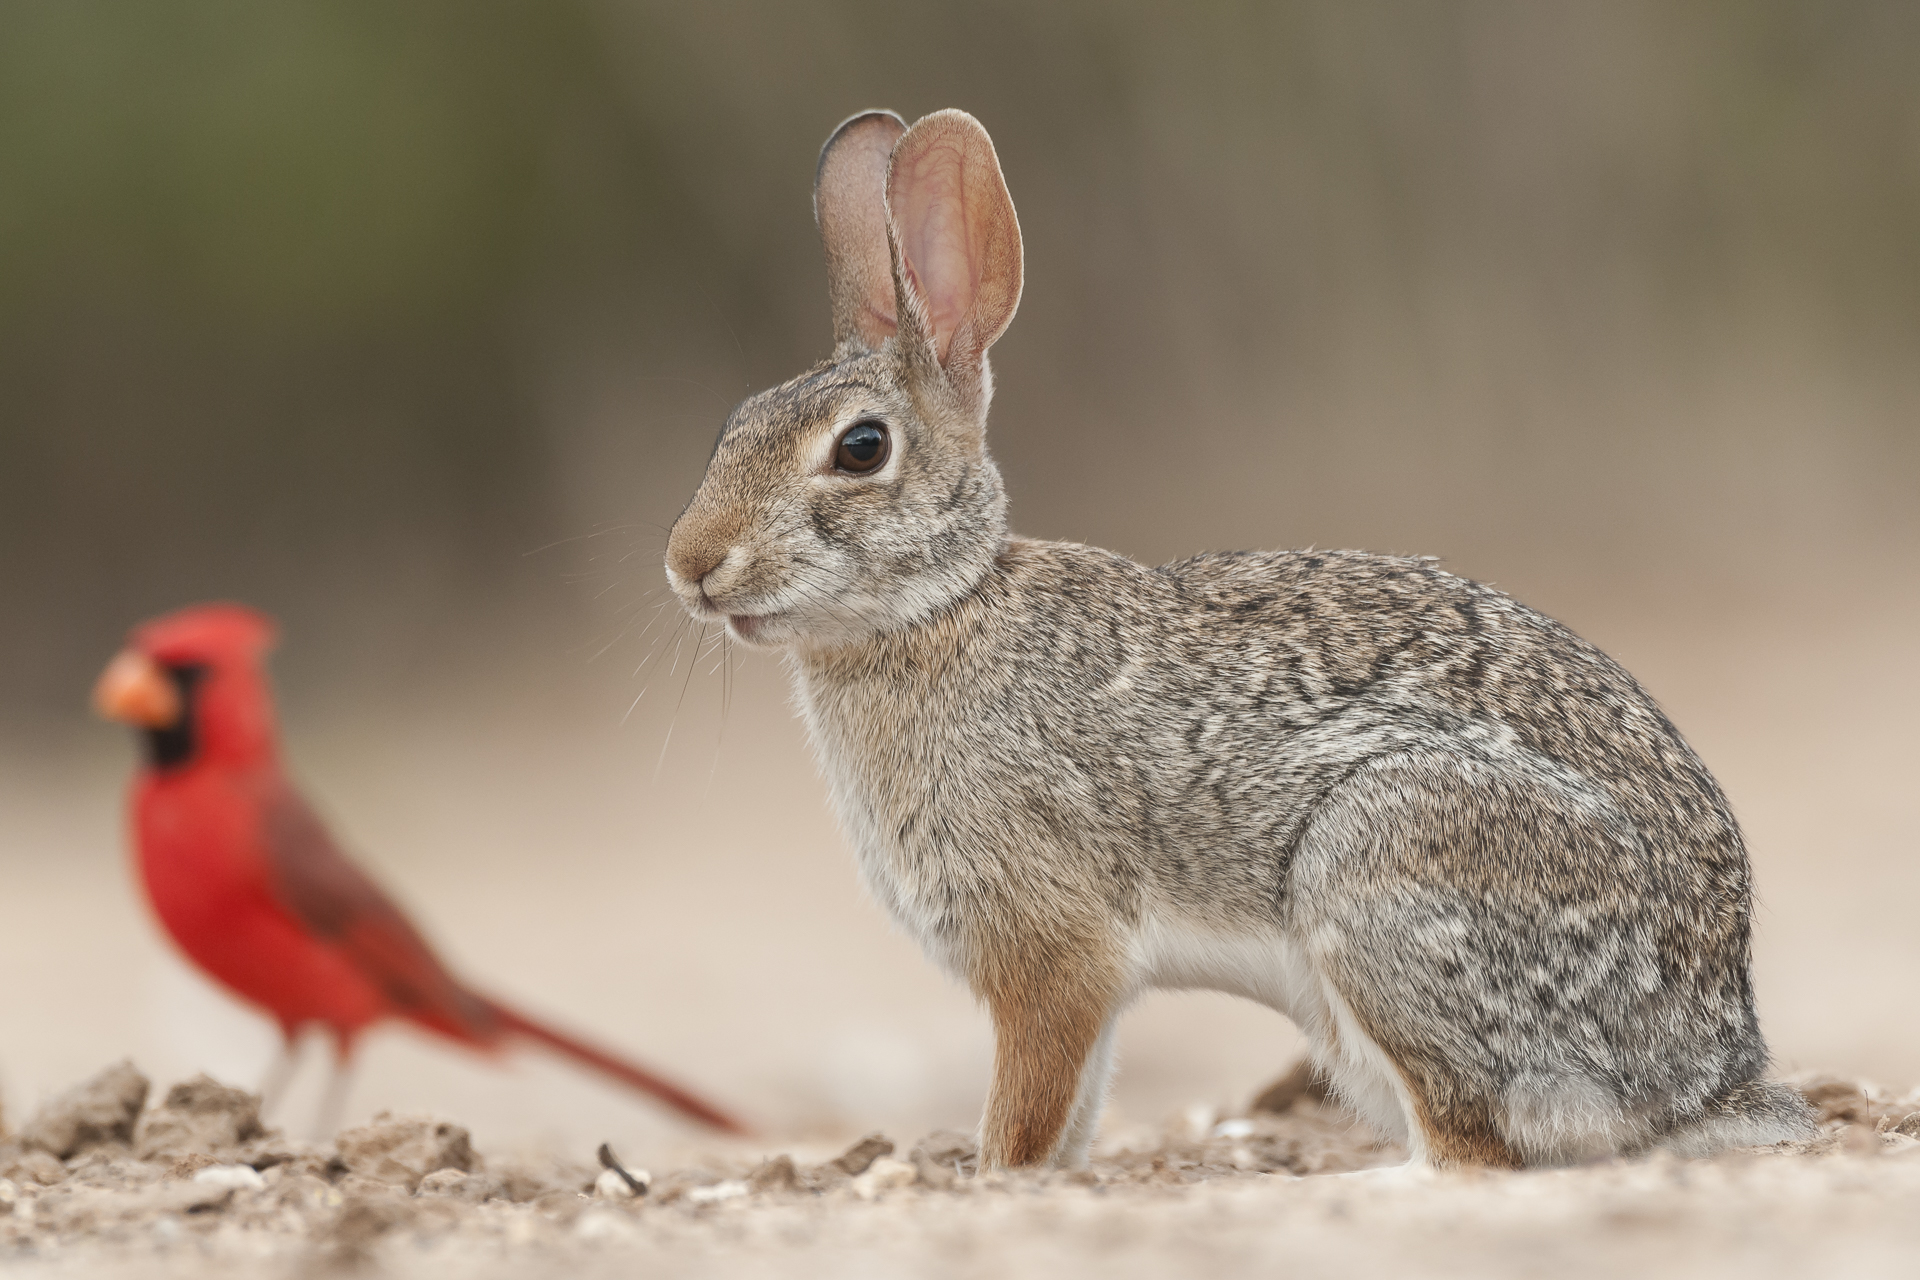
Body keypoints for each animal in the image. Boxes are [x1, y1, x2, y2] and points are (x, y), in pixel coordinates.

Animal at [664, 107, 1812, 1174]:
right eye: (733, 424)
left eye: (861, 449)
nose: (691, 564)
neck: (939, 607)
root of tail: (1706, 1069)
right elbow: (1075, 1110)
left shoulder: (1049, 950)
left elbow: (1030, 1107)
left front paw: (991, 1178)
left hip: (1378, 872)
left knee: (1473, 1145)